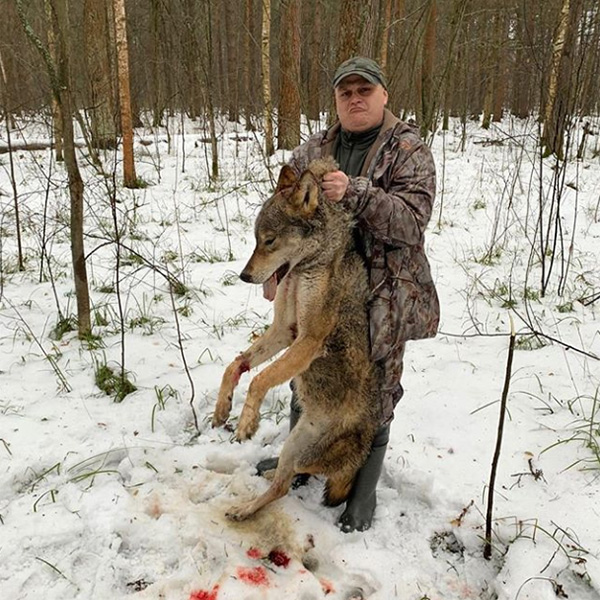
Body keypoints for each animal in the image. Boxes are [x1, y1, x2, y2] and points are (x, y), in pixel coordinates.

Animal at [212, 158, 380, 520]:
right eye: (255, 240)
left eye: (270, 240)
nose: (244, 276)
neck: (307, 266)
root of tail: (359, 455)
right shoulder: (284, 331)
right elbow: (237, 364)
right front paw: (223, 408)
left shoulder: (309, 339)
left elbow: (260, 379)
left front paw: (246, 423)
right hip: (295, 443)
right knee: (285, 482)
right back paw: (255, 494)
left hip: (298, 446)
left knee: (283, 487)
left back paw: (245, 509)